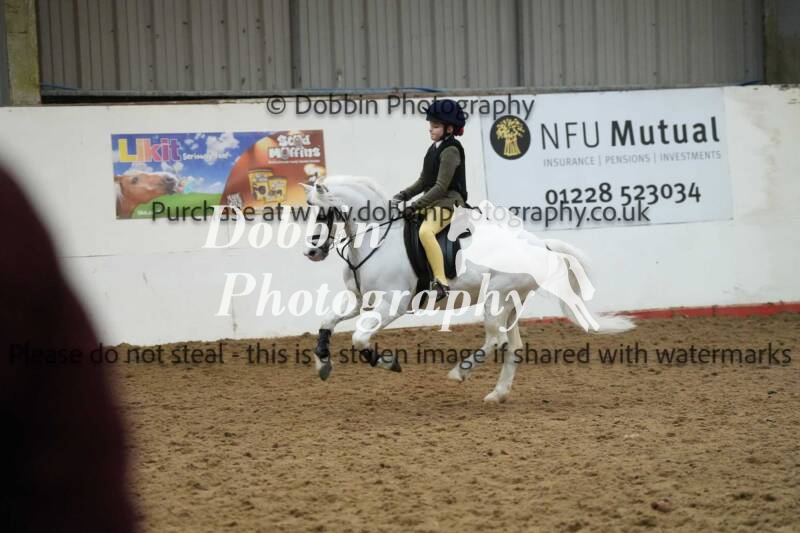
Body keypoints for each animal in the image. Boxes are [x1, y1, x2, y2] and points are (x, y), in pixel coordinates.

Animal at [300, 175, 635, 403]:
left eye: (322, 213)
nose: (312, 253)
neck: (376, 239)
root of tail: (541, 244)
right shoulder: (360, 300)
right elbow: (327, 321)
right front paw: (322, 362)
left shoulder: (392, 304)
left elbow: (359, 338)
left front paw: (388, 362)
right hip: (511, 302)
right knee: (513, 346)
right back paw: (497, 394)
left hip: (496, 298)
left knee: (496, 340)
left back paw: (459, 372)